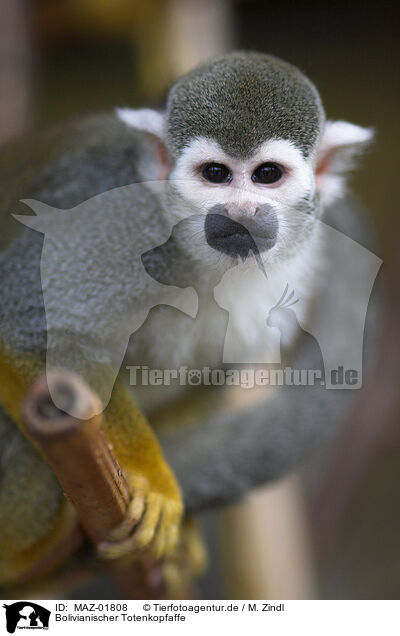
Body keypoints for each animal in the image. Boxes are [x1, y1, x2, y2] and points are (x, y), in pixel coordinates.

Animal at [0, 52, 374, 588]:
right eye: (215, 173)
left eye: (267, 175)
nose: (241, 213)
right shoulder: (113, 218)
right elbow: (28, 332)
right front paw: (151, 477)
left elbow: (215, 373)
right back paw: (24, 556)